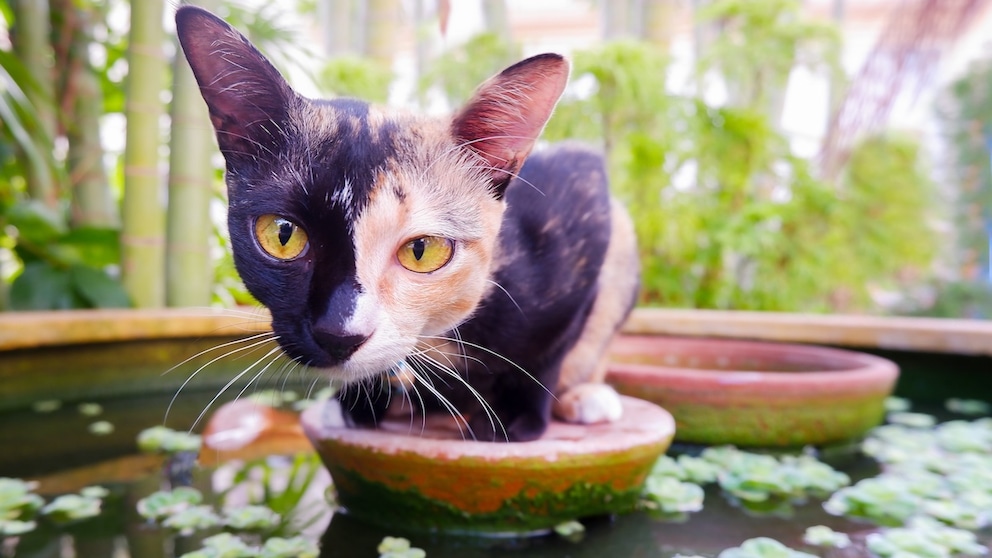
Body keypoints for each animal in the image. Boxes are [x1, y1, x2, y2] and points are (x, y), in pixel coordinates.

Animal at [174, 4, 640, 442]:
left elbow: (550, 350)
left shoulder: (580, 197)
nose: (338, 333)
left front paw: (514, 418)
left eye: (422, 250)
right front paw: (358, 403)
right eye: (283, 235)